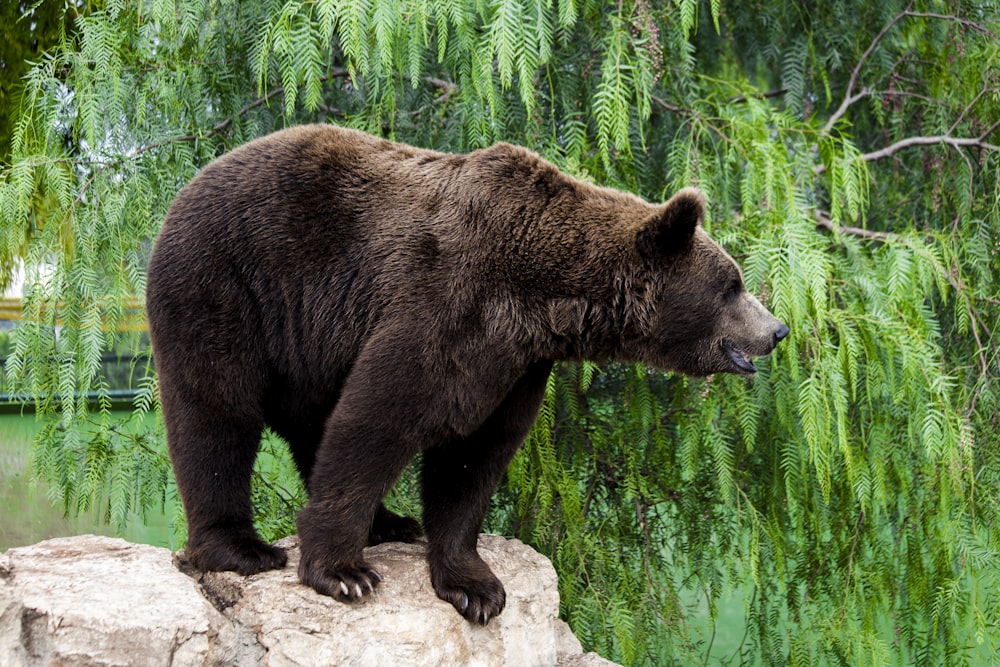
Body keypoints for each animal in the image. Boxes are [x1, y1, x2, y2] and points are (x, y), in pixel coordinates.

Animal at [146, 124, 788, 628]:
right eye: (732, 285)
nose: (777, 329)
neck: (547, 296)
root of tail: (190, 183)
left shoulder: (517, 365)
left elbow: (472, 458)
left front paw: (474, 587)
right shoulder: (447, 309)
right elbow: (377, 421)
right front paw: (344, 572)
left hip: (307, 343)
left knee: (309, 423)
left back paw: (392, 522)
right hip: (226, 286)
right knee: (216, 415)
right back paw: (241, 548)